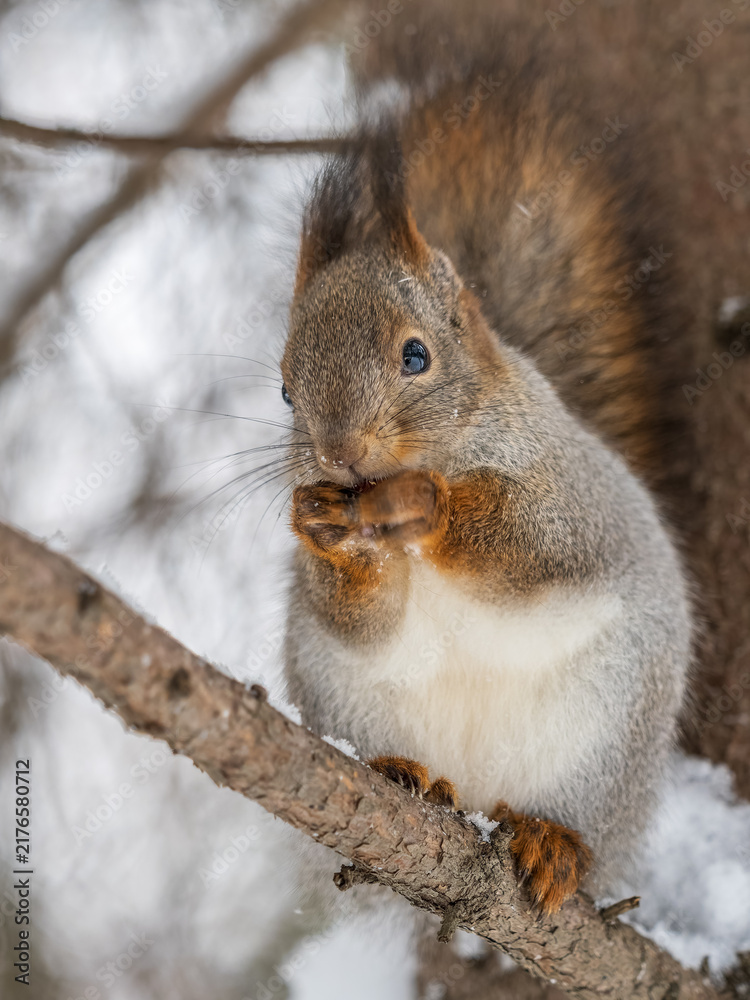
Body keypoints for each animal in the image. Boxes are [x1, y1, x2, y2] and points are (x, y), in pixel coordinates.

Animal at [279, 3, 692, 914]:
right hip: (349, 702)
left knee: (571, 821)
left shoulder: (568, 496)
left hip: (602, 742)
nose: (340, 453)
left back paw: (553, 842)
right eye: (285, 388)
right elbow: (358, 619)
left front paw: (424, 503)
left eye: (417, 356)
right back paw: (404, 774)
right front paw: (323, 528)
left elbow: (534, 548)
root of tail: (475, 789)